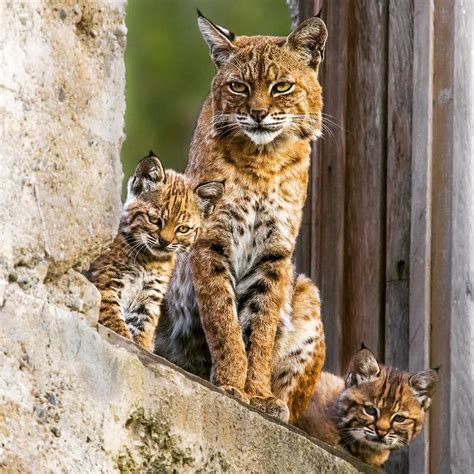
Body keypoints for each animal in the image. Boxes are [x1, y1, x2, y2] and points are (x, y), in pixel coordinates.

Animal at [85, 154, 224, 350]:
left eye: (183, 229)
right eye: (154, 220)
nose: (165, 242)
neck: (148, 260)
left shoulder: (149, 297)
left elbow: (144, 330)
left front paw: (142, 346)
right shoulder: (106, 284)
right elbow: (115, 323)